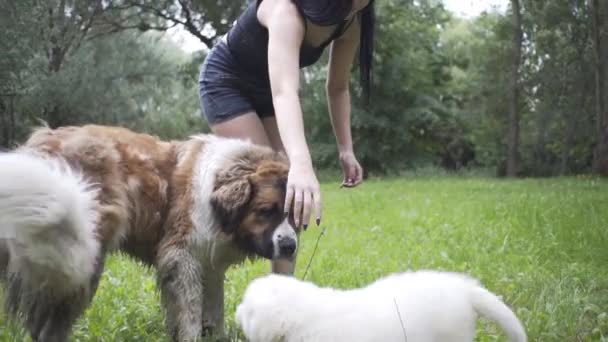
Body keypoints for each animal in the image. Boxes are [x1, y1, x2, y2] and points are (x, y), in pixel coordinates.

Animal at [0, 124, 296, 340]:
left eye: (294, 214)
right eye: (266, 211)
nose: (291, 246)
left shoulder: (210, 263)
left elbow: (214, 306)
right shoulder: (182, 257)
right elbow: (190, 311)